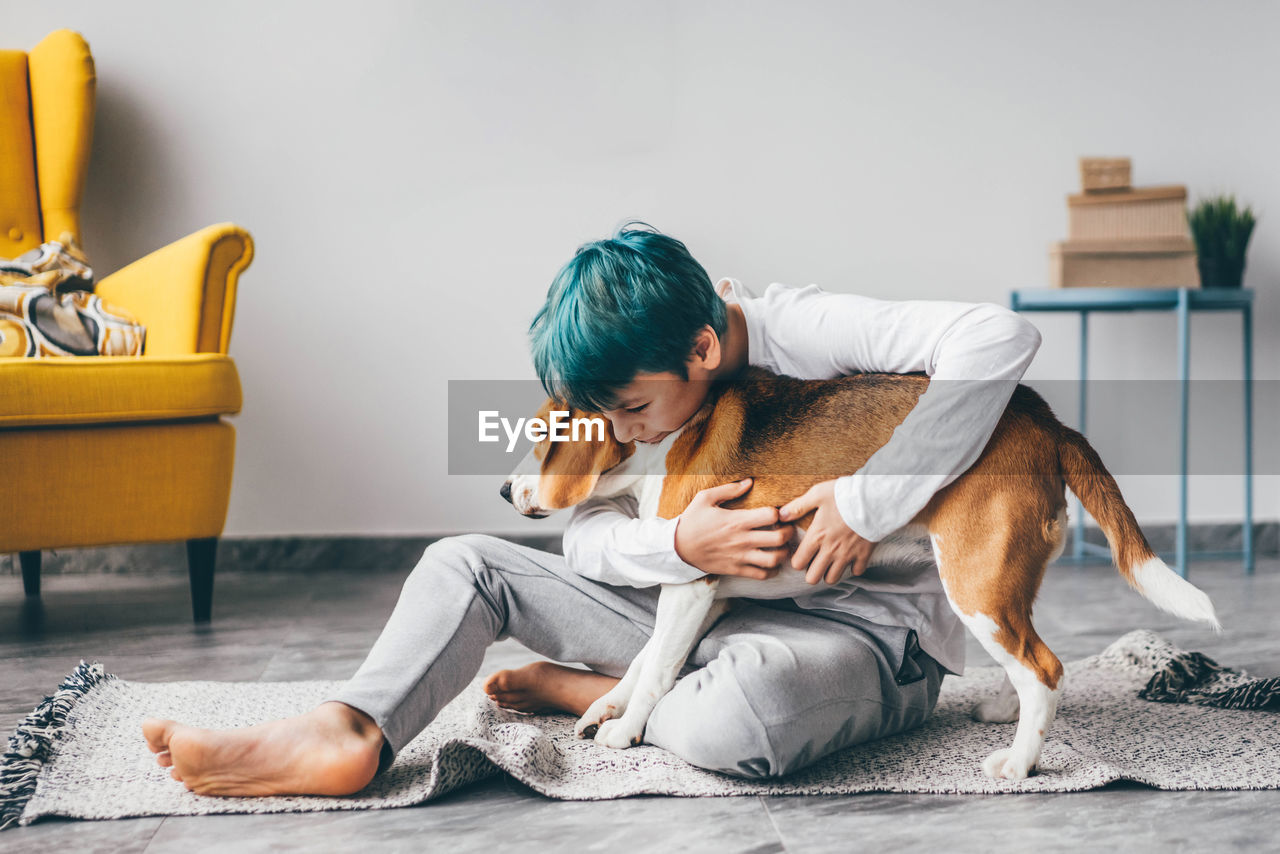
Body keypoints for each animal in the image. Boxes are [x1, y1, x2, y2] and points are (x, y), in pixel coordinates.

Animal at [499, 368, 1218, 783]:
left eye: (540, 436)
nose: (506, 492)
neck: (657, 446)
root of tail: (1045, 420)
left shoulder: (691, 583)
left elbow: (654, 671)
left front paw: (626, 732)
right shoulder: (706, 595)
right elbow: (647, 660)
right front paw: (607, 706)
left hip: (975, 581)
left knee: (1043, 667)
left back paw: (1021, 763)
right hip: (1004, 580)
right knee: (1036, 661)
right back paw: (1006, 715)